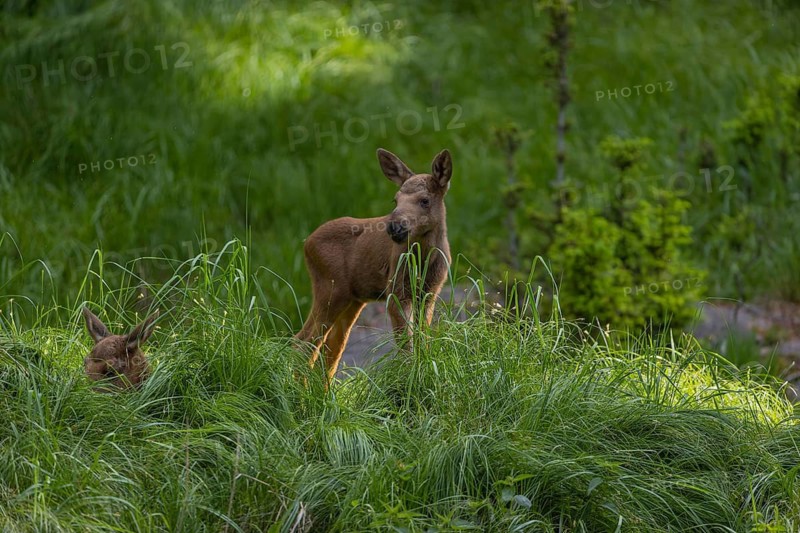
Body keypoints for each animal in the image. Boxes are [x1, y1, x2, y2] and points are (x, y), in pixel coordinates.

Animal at [296, 148, 453, 384]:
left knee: (330, 351)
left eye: (425, 200)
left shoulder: (430, 292)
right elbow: (405, 343)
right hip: (330, 290)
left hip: (352, 300)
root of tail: (306, 243)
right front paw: (410, 377)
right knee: (304, 342)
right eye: (395, 200)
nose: (395, 227)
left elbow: (422, 337)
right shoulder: (395, 289)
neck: (424, 259)